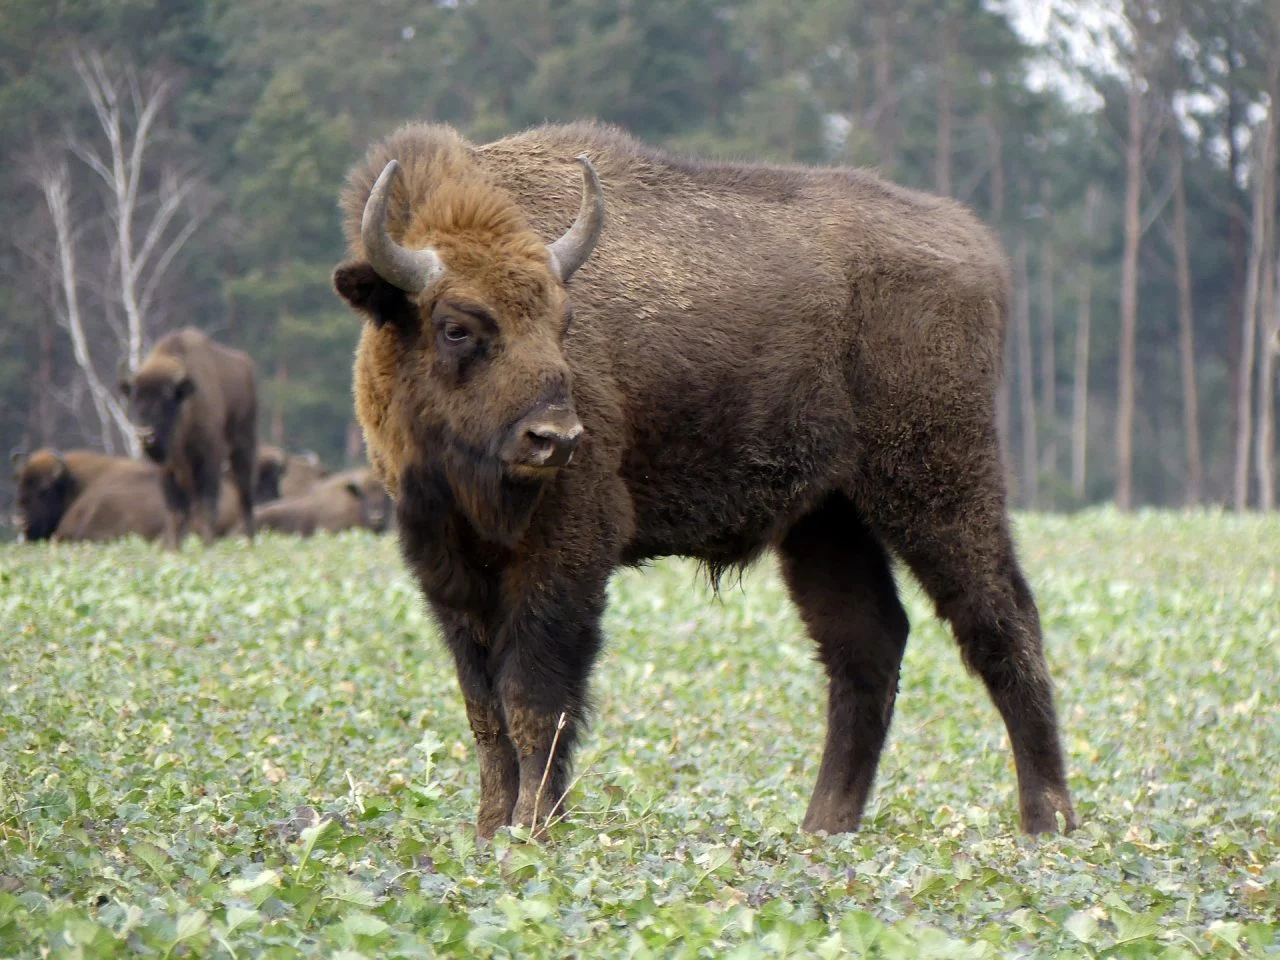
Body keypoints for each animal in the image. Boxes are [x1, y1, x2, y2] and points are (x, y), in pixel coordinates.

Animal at [120, 327, 258, 545]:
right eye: (134, 399)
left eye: (166, 400)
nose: (144, 434)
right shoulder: (167, 470)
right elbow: (176, 513)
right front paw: (174, 548)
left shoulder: (208, 459)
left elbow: (207, 507)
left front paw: (207, 545)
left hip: (243, 448)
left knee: (244, 496)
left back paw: (249, 542)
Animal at [332, 120, 1080, 839]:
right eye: (456, 326)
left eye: (563, 321)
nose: (556, 437)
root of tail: (973, 243)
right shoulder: (450, 570)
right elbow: (484, 711)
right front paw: (490, 833)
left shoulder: (566, 555)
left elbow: (533, 704)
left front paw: (532, 831)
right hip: (827, 520)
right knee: (868, 642)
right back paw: (823, 829)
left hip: (938, 485)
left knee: (1002, 622)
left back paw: (1048, 823)